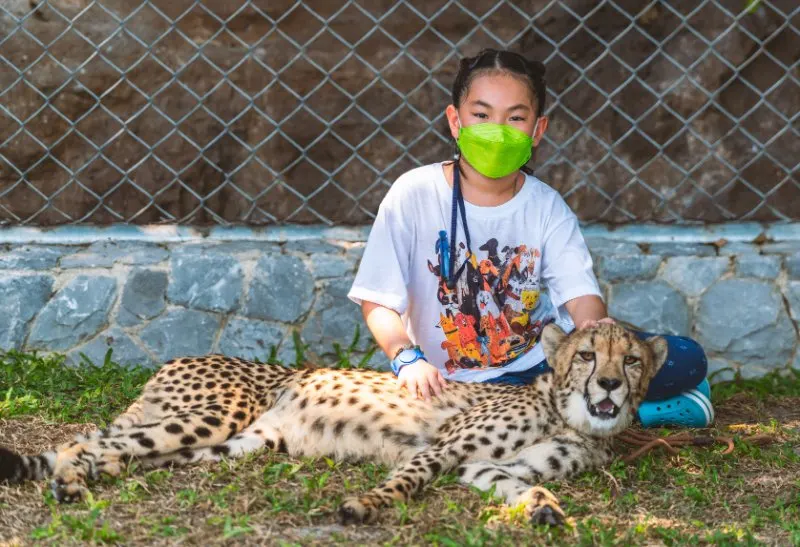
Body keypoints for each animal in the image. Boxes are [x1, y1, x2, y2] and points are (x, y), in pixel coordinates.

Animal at [0, 326, 664, 528]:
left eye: (630, 360)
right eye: (588, 355)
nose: (609, 384)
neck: (571, 419)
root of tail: (178, 358)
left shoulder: (482, 467)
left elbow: (527, 484)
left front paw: (546, 509)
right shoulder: (443, 448)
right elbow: (405, 481)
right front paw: (363, 508)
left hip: (227, 444)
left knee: (117, 449)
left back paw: (86, 476)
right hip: (214, 416)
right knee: (79, 439)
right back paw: (71, 482)